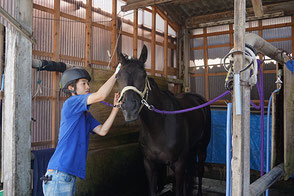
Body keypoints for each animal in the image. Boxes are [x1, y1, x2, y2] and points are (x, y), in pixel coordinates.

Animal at [116, 45, 210, 196]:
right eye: (118, 77)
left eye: (144, 75)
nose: (130, 109)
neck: (158, 127)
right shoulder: (150, 164)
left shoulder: (179, 164)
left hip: (202, 146)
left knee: (199, 171)